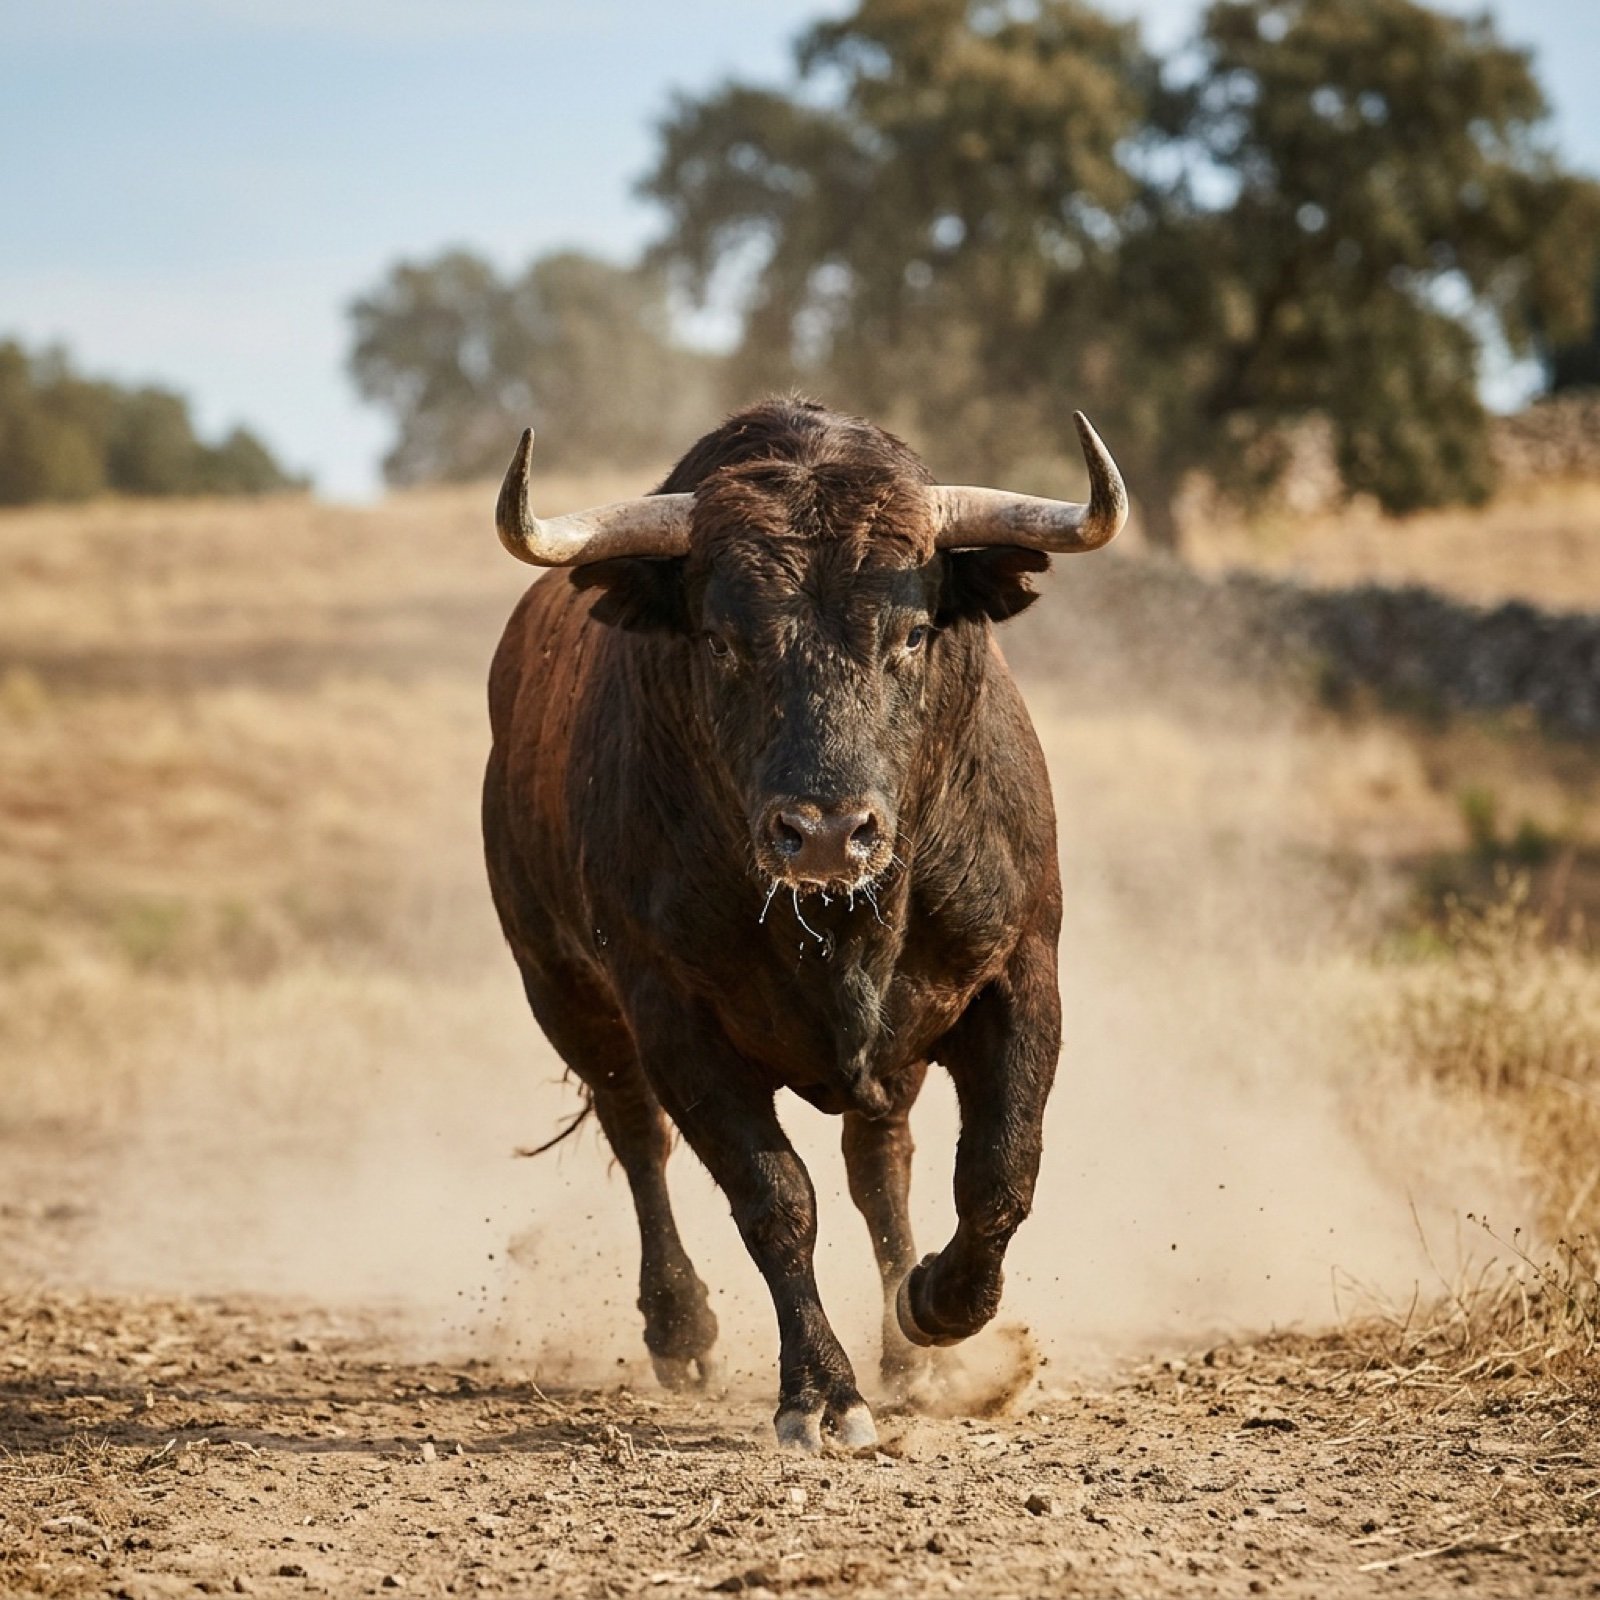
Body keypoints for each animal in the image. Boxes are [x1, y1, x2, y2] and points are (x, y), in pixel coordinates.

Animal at [482, 398, 1127, 1451]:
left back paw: (908, 1352)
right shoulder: (675, 1019)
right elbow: (774, 1200)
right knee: (638, 1137)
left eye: (913, 631)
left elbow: (998, 1171)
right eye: (721, 639)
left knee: (881, 1166)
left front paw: (932, 1307)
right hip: (564, 989)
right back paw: (681, 1328)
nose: (825, 831)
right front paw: (821, 1394)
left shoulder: (1023, 972)